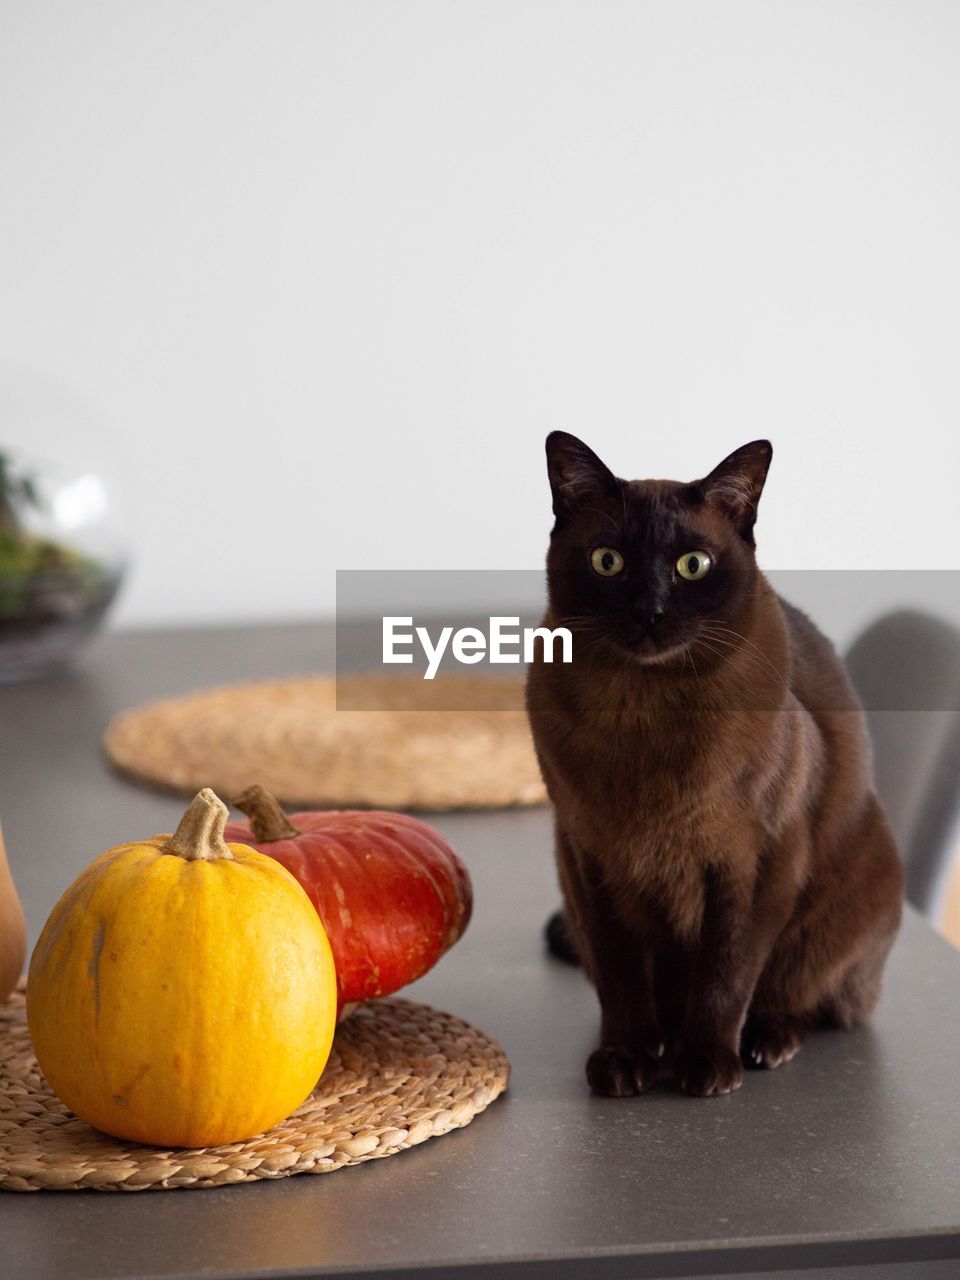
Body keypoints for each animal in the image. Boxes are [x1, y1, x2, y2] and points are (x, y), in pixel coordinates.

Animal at [527, 435, 911, 1095]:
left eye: (692, 566)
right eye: (608, 562)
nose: (649, 612)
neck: (644, 715)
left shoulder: (753, 863)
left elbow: (726, 973)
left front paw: (705, 1065)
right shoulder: (590, 859)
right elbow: (620, 978)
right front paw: (625, 1060)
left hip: (844, 903)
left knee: (806, 996)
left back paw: (764, 1042)